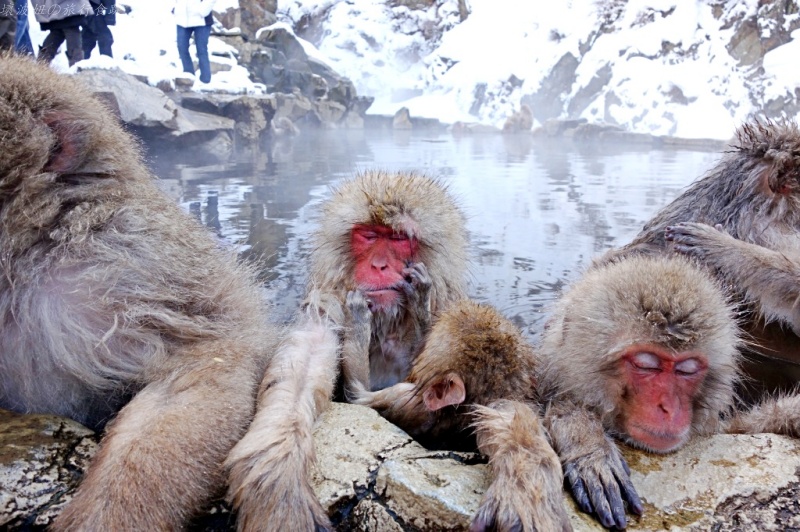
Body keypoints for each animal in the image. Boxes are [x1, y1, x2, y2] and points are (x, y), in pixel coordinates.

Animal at [225, 170, 469, 531]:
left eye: (398, 238)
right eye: (368, 236)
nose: (379, 265)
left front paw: (421, 307)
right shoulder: (330, 300)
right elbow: (304, 366)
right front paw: (281, 479)